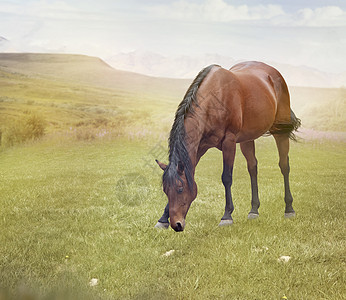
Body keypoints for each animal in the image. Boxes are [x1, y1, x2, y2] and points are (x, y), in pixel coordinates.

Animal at [155, 61, 300, 232]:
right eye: (165, 190)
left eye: (180, 189)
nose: (176, 225)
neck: (214, 100)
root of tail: (275, 74)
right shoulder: (200, 147)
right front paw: (162, 219)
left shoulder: (229, 142)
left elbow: (227, 177)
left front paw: (227, 216)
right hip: (247, 138)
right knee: (253, 167)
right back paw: (254, 210)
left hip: (280, 132)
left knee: (284, 165)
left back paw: (289, 209)